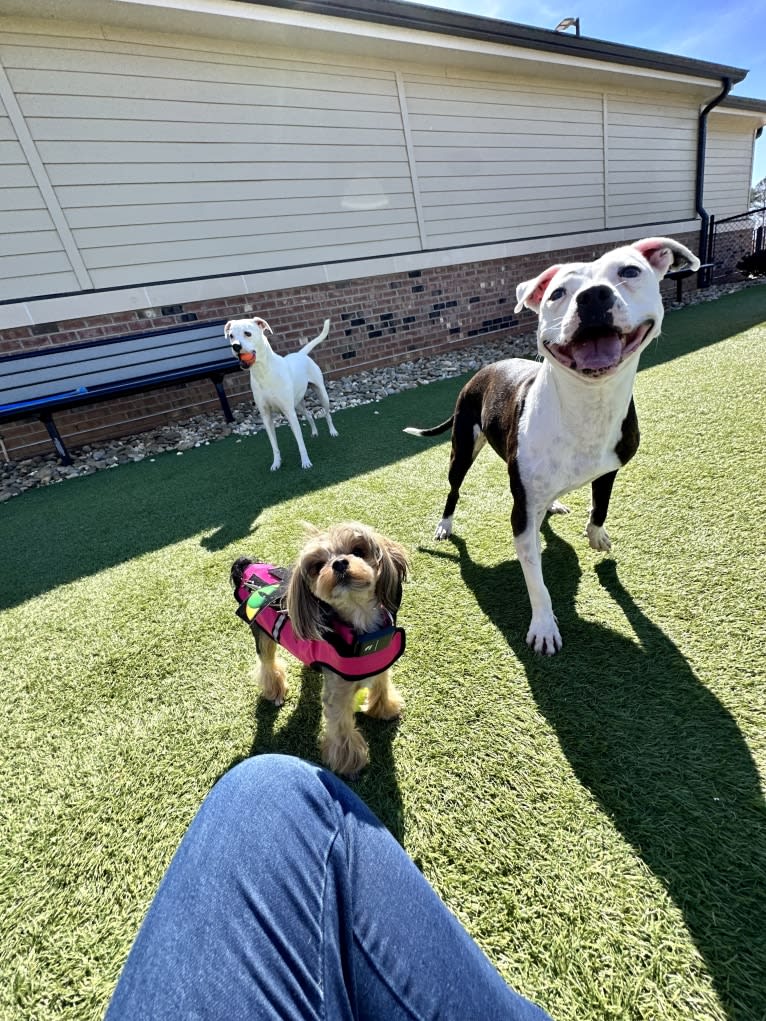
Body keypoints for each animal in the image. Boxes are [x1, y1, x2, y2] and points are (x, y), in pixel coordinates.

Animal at [232, 526, 410, 771]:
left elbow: (382, 686)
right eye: (318, 565)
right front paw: (349, 762)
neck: (362, 623)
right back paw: (274, 690)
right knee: (267, 663)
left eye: (358, 551)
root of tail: (247, 565)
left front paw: (385, 709)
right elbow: (341, 725)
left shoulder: (381, 666)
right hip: (263, 635)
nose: (339, 563)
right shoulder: (338, 691)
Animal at [408, 235, 702, 653]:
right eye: (558, 293)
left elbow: (600, 507)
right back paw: (445, 525)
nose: (594, 296)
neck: (587, 404)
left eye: (630, 271)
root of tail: (484, 370)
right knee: (454, 490)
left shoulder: (609, 470)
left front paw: (597, 536)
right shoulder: (520, 515)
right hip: (462, 449)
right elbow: (536, 580)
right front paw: (544, 626)